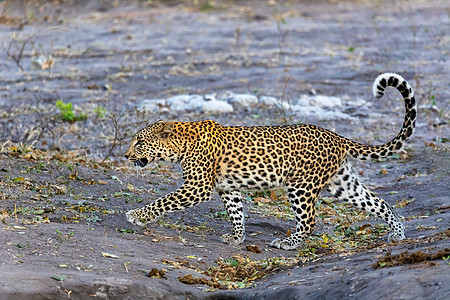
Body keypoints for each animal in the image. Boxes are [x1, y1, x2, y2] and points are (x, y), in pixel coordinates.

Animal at [125, 73, 416, 251]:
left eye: (139, 142)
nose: (126, 156)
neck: (181, 144)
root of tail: (335, 136)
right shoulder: (228, 188)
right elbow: (236, 213)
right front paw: (237, 237)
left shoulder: (198, 187)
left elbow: (164, 201)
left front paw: (137, 216)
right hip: (342, 184)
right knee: (378, 202)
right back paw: (398, 233)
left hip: (301, 186)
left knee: (309, 221)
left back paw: (289, 243)